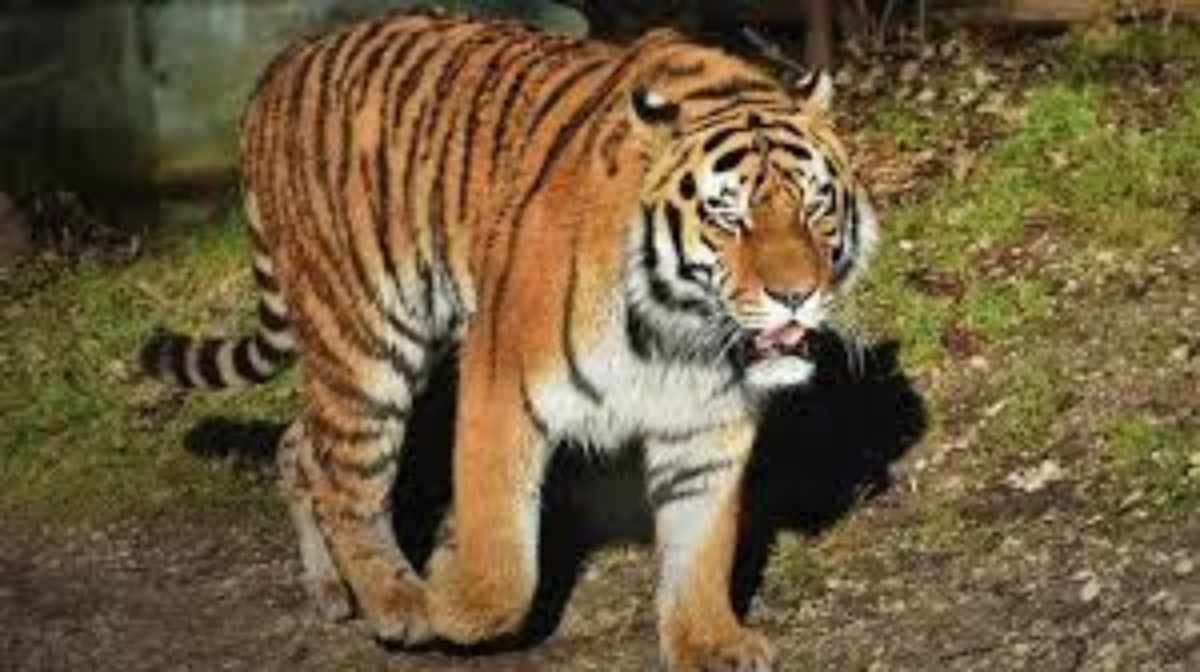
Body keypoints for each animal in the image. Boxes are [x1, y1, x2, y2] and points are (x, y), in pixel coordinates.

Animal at [139, 11, 879, 671]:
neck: (681, 327)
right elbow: (503, 562)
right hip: (366, 338)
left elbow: (701, 543)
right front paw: (448, 592)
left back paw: (330, 589)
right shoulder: (503, 380)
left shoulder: (705, 419)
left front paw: (710, 643)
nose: (796, 294)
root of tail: (286, 61)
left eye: (815, 204)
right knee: (346, 475)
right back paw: (396, 602)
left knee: (302, 444)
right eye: (729, 217)